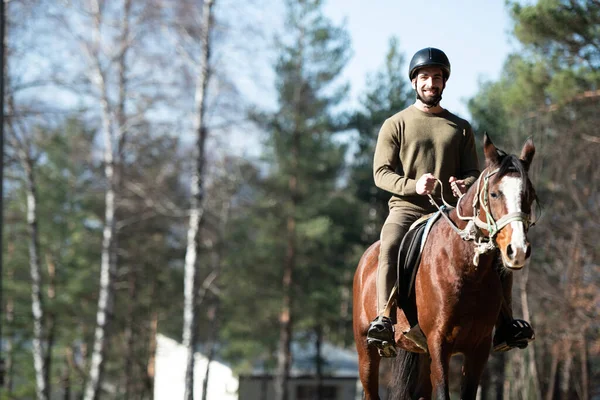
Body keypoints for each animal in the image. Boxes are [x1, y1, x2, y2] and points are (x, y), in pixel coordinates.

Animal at [350, 135, 536, 400]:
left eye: (529, 194)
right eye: (494, 194)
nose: (517, 249)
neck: (466, 270)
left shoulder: (478, 348)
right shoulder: (439, 344)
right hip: (366, 352)